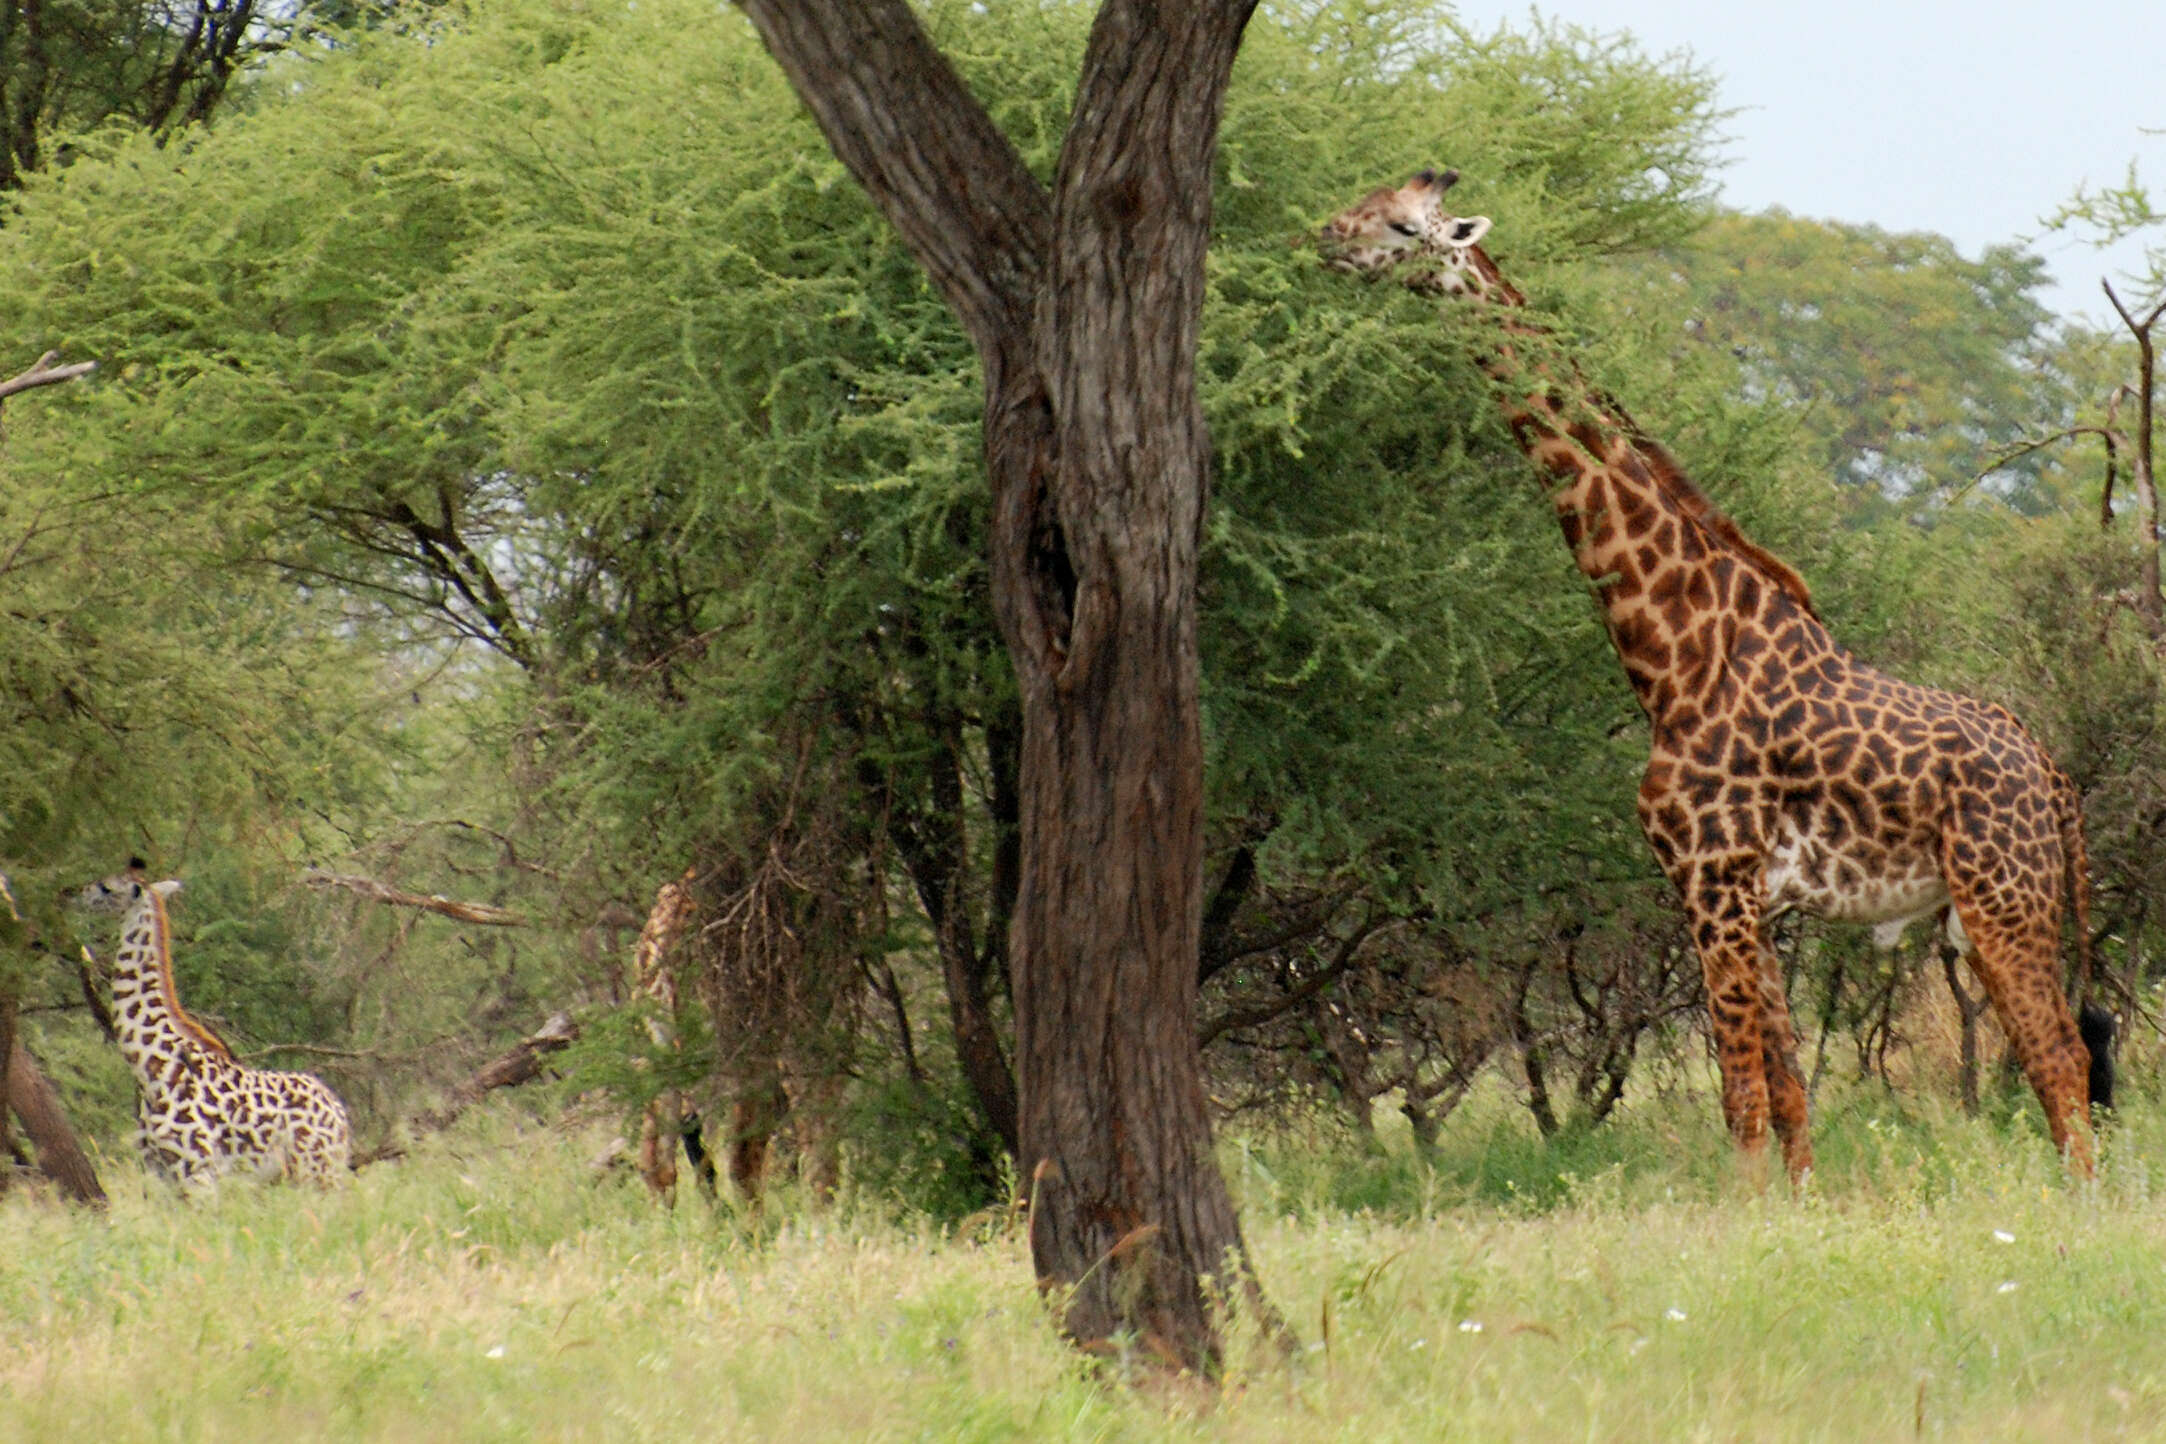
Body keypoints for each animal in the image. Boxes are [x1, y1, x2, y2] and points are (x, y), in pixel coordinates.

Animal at [68, 865, 350, 1195]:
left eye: (107, 887)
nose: (78, 893)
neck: (151, 1069)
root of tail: (340, 1115)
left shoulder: (197, 1169)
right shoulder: (158, 1170)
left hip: (316, 1169)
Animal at [1316, 169, 2096, 1186]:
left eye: (1407, 225)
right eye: (1368, 202)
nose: (1327, 236)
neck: (1671, 653)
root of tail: (2053, 774)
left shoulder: (1709, 876)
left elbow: (1741, 1101)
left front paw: (1745, 1212)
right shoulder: (1746, 895)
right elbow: (1792, 1099)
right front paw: (1797, 1209)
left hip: (2005, 899)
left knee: (2061, 1064)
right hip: (1996, 907)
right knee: (2058, 1063)